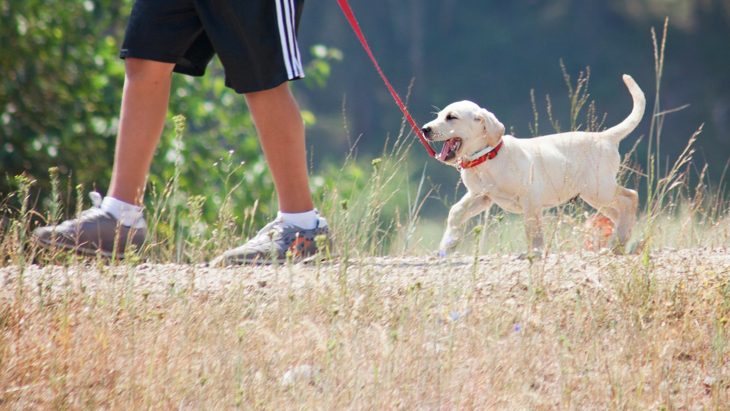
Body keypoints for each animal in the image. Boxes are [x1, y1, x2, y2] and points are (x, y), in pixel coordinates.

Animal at [420, 73, 644, 254]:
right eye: (439, 116)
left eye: (451, 117)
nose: (424, 129)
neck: (486, 158)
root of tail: (605, 136)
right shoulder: (482, 196)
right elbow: (456, 211)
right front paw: (448, 244)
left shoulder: (530, 197)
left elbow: (532, 227)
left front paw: (534, 252)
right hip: (595, 195)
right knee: (619, 212)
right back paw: (619, 243)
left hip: (599, 188)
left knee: (630, 197)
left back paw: (618, 242)